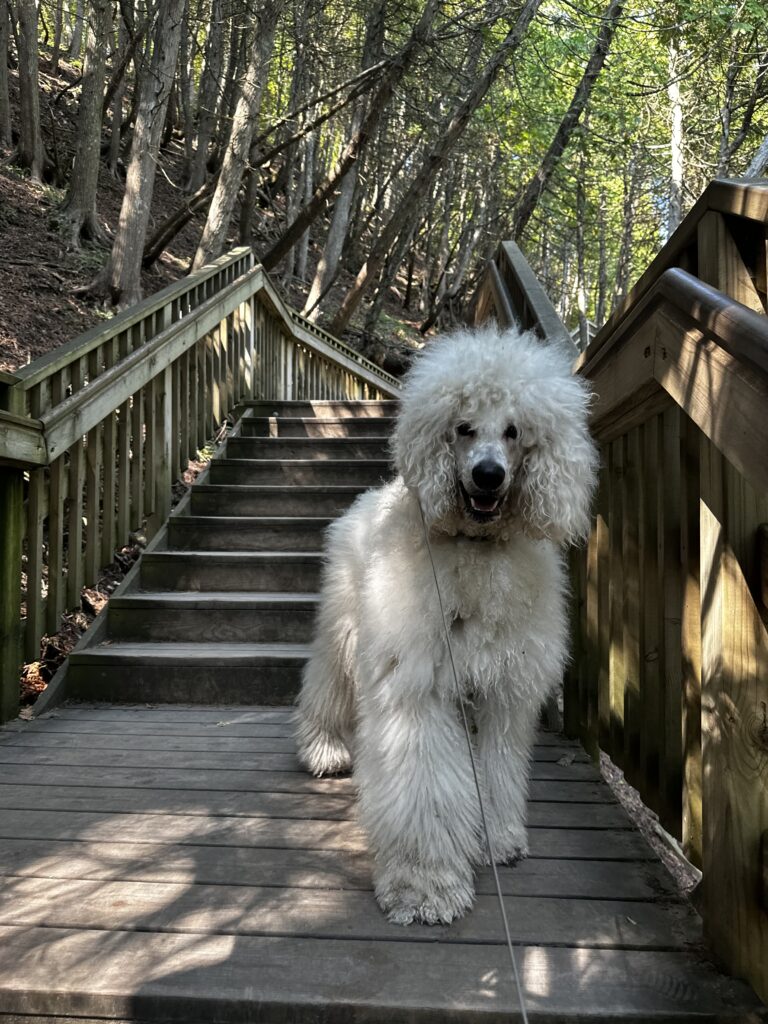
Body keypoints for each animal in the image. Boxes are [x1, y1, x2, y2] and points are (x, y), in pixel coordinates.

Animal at [295, 323, 597, 925]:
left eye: (514, 431)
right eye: (463, 427)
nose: (488, 475)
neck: (474, 548)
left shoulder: (504, 688)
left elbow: (497, 768)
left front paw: (496, 837)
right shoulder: (418, 684)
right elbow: (425, 788)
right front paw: (425, 885)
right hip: (344, 623)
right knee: (326, 681)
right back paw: (325, 748)